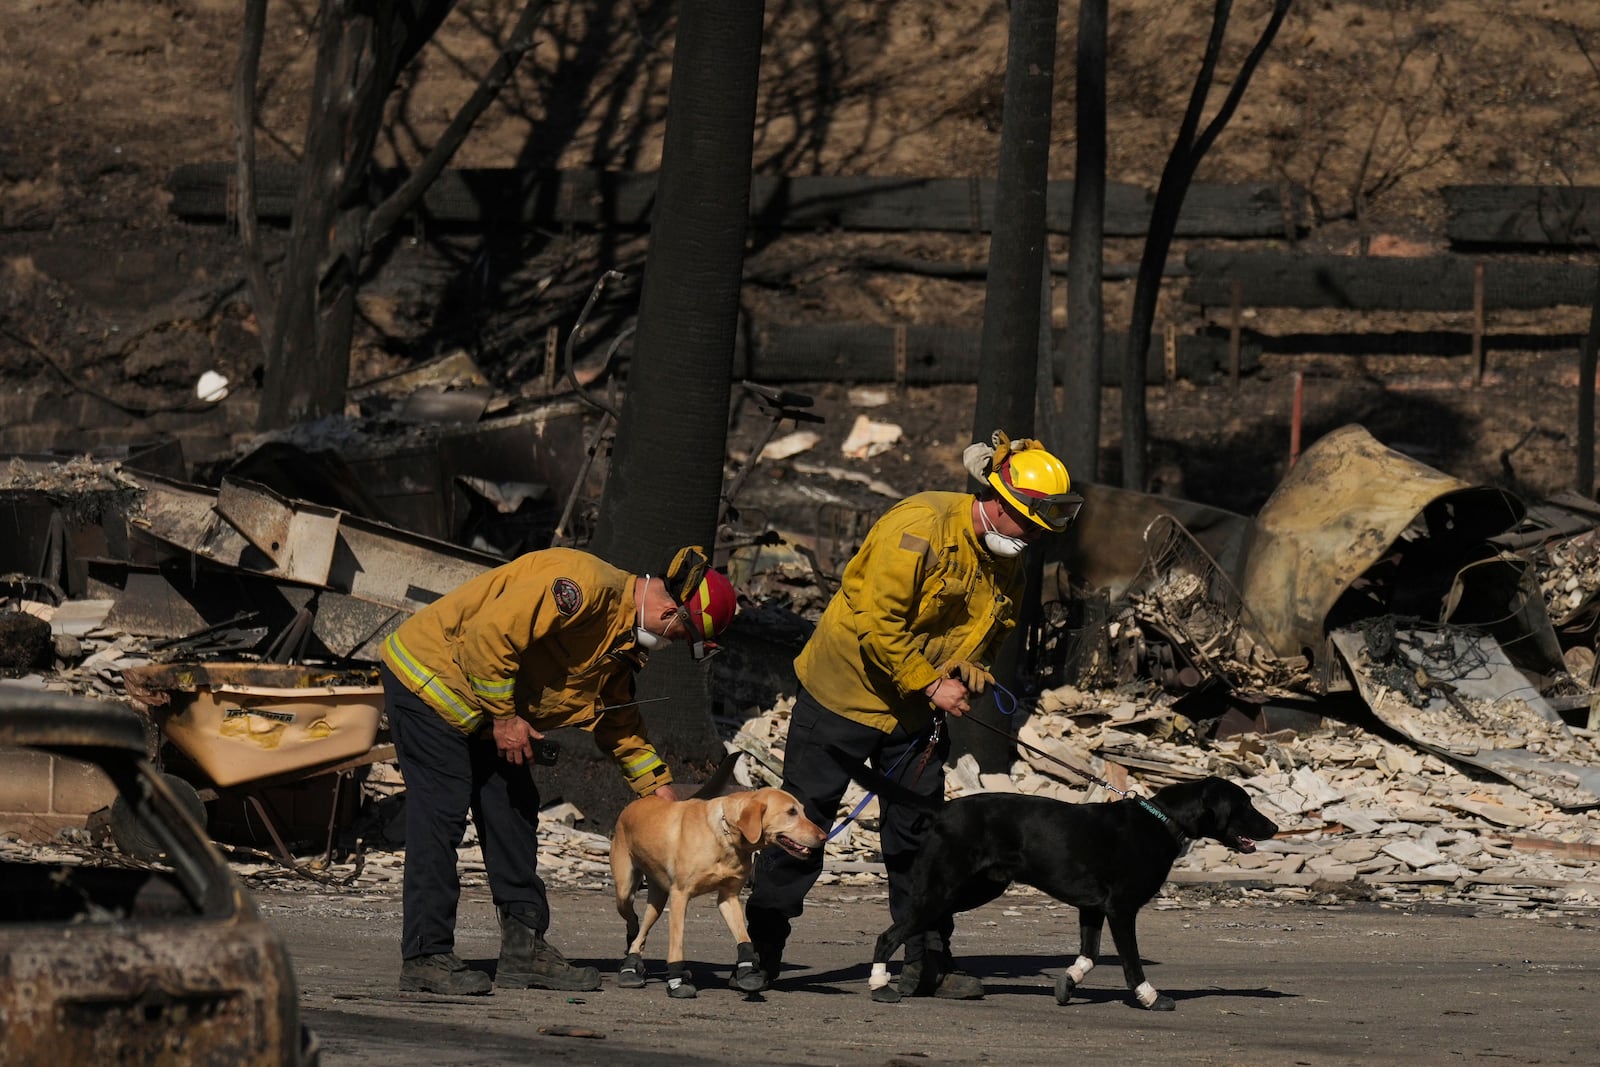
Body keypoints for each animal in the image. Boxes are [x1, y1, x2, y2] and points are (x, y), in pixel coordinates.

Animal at [611, 771, 825, 998]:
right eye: (791, 812)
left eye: (803, 811)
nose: (824, 836)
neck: (725, 837)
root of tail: (636, 803)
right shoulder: (680, 895)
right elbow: (677, 943)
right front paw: (677, 980)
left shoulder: (728, 897)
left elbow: (743, 937)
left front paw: (747, 972)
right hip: (625, 891)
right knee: (634, 923)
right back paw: (630, 964)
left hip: (658, 898)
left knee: (641, 932)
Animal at [864, 777, 1273, 1011]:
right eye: (1245, 804)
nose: (1274, 827)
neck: (1162, 821)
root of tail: (944, 808)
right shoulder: (1121, 909)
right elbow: (1131, 963)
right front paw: (1150, 997)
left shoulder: (1091, 908)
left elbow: (1089, 956)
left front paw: (1068, 983)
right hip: (944, 890)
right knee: (888, 935)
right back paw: (880, 985)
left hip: (969, 890)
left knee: (918, 927)